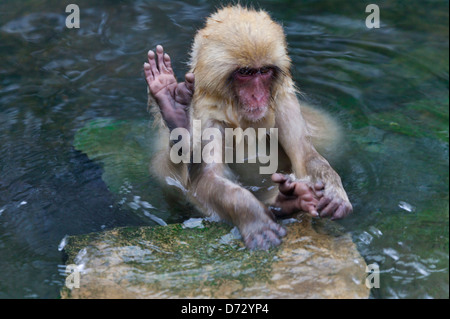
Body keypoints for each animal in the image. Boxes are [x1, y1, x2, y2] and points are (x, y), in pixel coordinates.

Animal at [144, 3, 352, 251]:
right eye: (245, 73)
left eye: (263, 71)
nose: (257, 96)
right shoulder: (207, 115)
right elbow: (207, 179)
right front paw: (254, 217)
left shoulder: (284, 101)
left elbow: (306, 155)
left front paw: (333, 189)